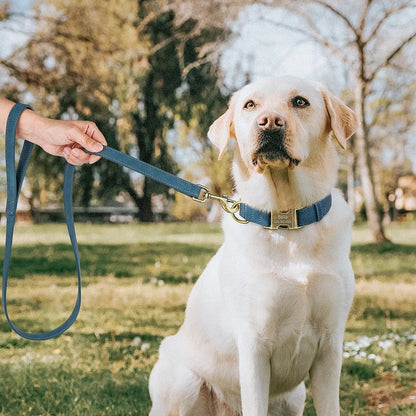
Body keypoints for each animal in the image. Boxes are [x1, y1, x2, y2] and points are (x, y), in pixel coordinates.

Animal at [149, 75, 358, 416]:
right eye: (250, 105)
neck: (287, 221)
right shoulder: (254, 346)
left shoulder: (330, 347)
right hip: (183, 380)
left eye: (300, 102)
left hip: (294, 396)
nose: (269, 122)